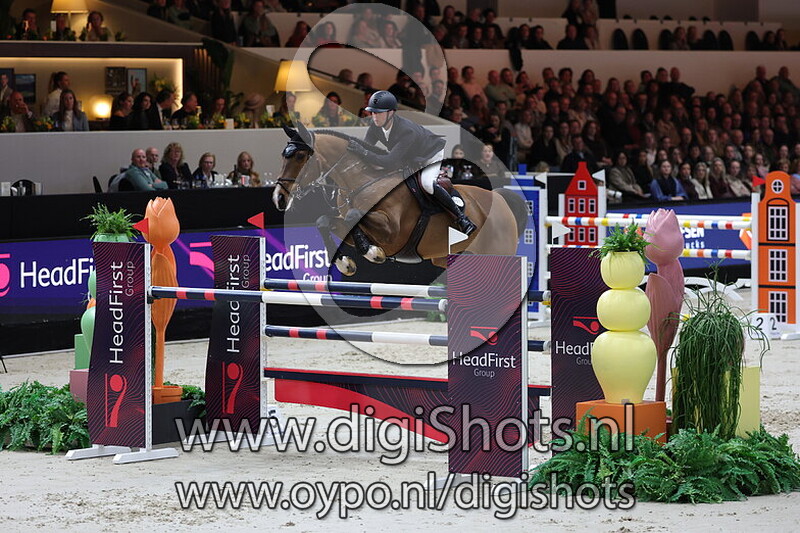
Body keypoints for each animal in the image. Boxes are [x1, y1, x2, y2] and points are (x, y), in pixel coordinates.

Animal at [273, 124, 529, 275]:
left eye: (299, 155)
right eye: (283, 155)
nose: (278, 198)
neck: (361, 180)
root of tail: (501, 199)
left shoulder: (392, 231)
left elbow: (355, 216)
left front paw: (372, 253)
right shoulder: (344, 224)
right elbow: (324, 221)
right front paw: (345, 263)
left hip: (499, 253)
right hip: (449, 257)